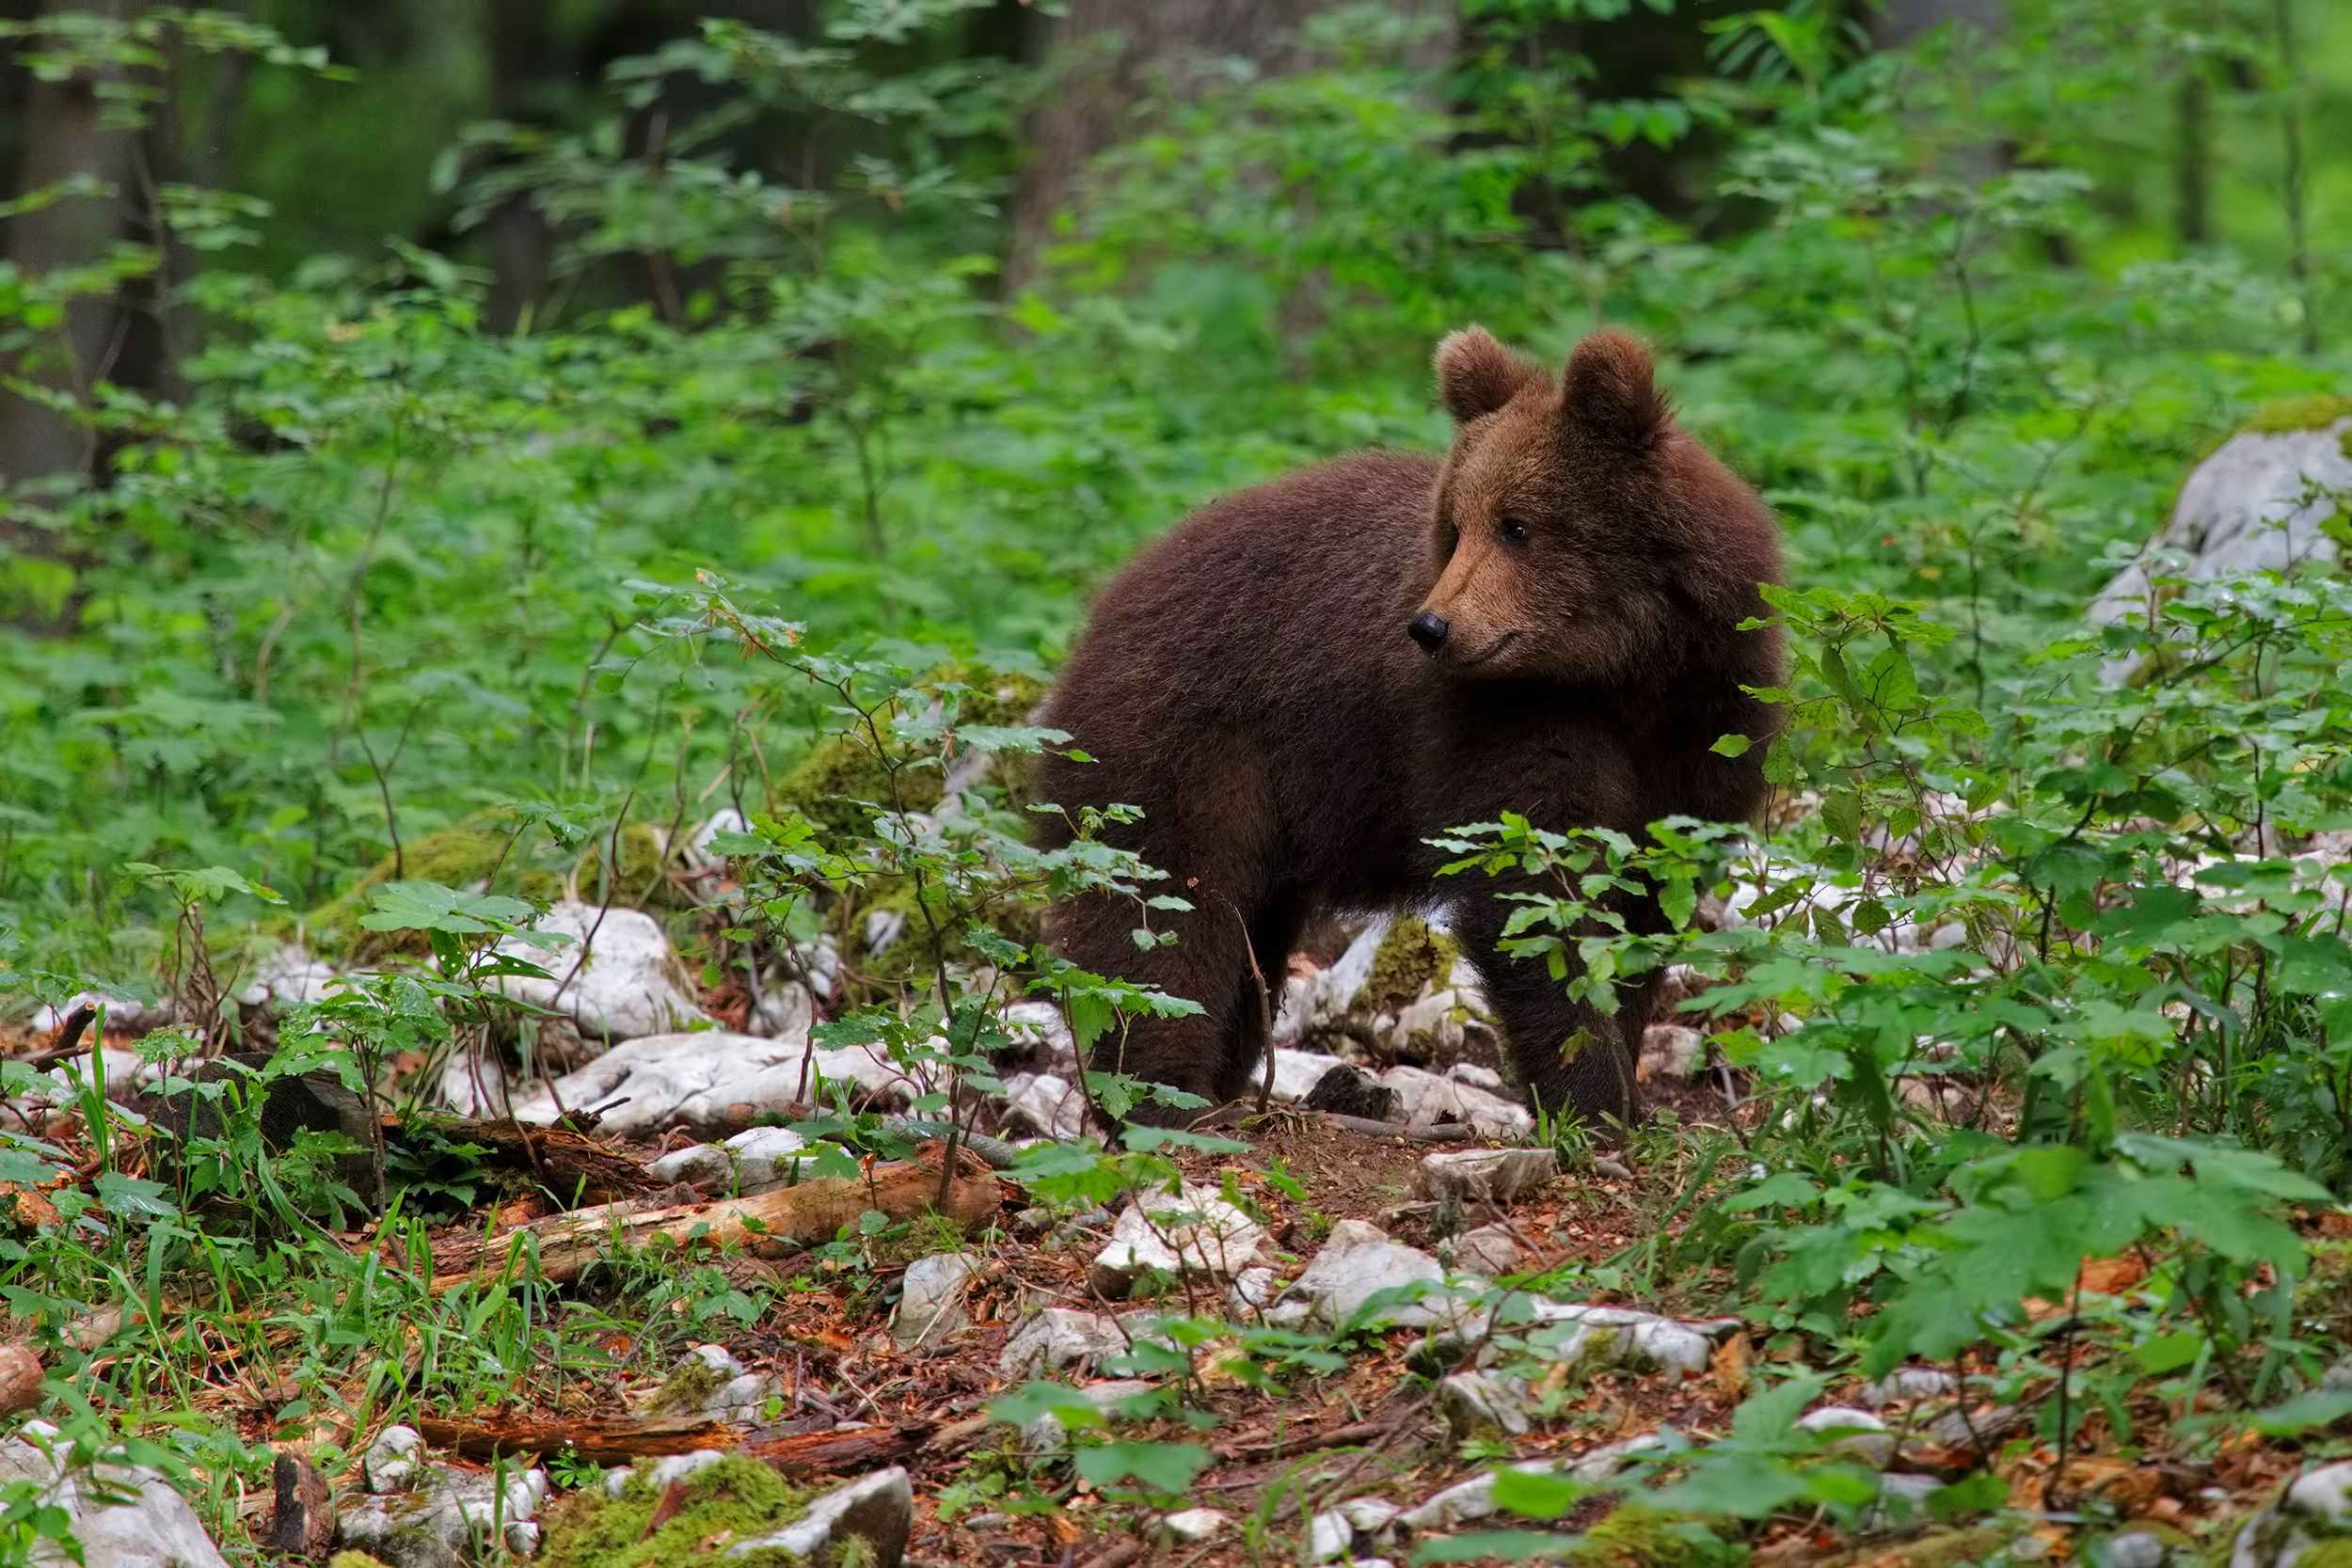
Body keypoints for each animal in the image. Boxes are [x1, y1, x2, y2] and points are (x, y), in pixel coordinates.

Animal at [1030, 328, 1778, 1128]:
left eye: (1516, 525)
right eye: (1457, 524)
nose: (1431, 626)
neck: (1626, 671)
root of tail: (1108, 601)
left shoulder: (1707, 720)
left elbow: (1648, 898)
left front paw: (1629, 1094)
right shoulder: (1498, 721)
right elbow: (1535, 896)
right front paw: (1591, 1096)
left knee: (1244, 933)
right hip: (1184, 742)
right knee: (1166, 908)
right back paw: (1166, 1098)